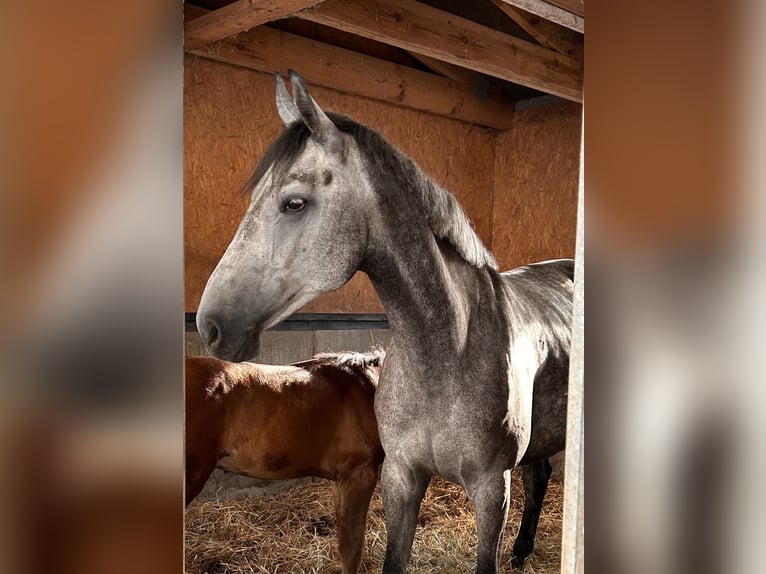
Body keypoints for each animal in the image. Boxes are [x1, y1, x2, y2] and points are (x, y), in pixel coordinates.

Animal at [195, 73, 572, 574]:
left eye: (293, 203)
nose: (210, 324)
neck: (446, 356)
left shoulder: (492, 490)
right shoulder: (401, 477)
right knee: (541, 473)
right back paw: (522, 550)